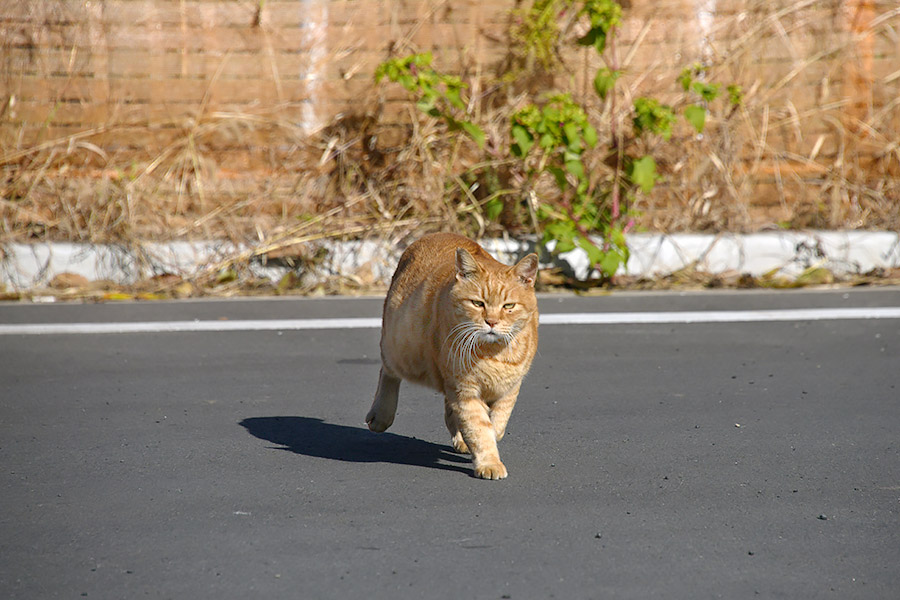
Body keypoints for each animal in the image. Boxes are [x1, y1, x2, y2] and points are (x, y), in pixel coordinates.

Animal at [364, 232, 536, 480]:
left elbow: (497, 425)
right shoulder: (465, 391)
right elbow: (480, 430)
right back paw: (381, 415)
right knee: (387, 373)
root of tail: (437, 234)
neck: (492, 353)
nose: (492, 322)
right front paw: (489, 463)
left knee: (449, 411)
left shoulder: (509, 390)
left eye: (508, 306)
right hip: (400, 348)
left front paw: (481, 442)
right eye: (478, 303)